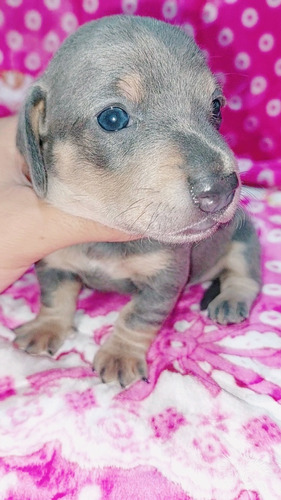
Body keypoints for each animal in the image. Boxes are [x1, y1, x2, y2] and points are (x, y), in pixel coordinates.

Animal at [14, 15, 260, 388]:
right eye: (112, 118)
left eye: (216, 106)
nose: (221, 188)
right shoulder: (53, 261)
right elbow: (55, 296)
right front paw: (46, 326)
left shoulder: (165, 279)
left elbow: (137, 317)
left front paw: (120, 354)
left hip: (244, 237)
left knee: (245, 276)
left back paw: (230, 299)